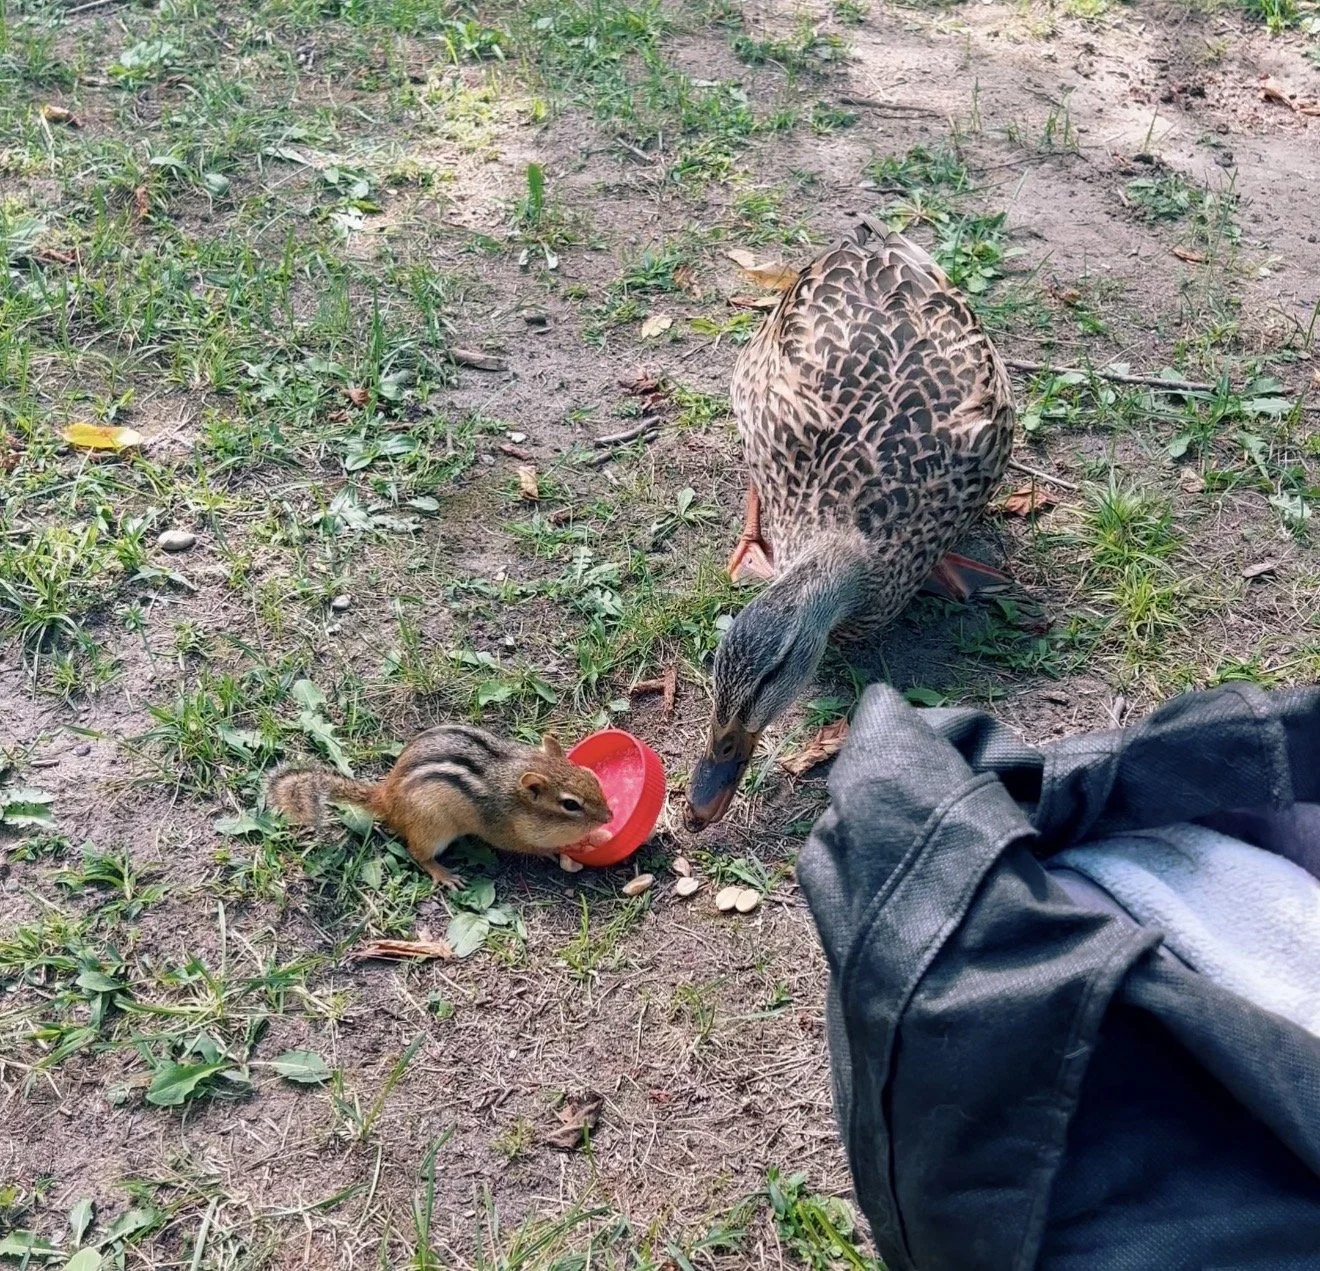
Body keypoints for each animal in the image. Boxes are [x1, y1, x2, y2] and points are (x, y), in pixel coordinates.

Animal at [265, 725, 613, 891]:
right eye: (570, 805)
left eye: (591, 776)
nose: (609, 816)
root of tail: (387, 799)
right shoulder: (504, 831)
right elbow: (530, 847)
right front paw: (565, 847)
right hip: (433, 827)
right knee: (417, 853)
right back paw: (443, 874)